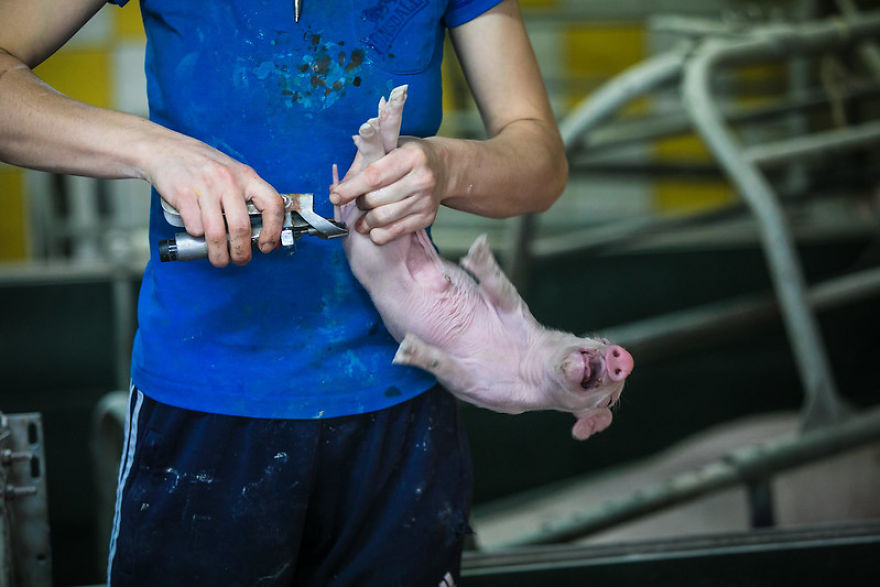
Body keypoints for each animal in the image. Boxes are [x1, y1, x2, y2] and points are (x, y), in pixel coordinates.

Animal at [333, 86, 633, 440]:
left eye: (610, 401)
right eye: (601, 341)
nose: (624, 357)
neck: (526, 362)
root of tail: (342, 211)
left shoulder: (486, 392)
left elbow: (446, 368)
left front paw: (408, 352)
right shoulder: (518, 314)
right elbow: (503, 291)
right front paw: (478, 250)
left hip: (376, 243)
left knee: (373, 163)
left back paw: (377, 121)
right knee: (380, 156)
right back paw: (388, 109)